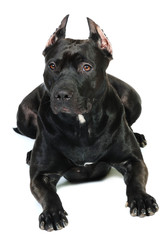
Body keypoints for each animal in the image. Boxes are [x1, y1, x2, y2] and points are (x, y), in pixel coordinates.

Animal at [15, 15, 159, 231]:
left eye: (86, 67)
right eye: (52, 66)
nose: (61, 95)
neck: (81, 125)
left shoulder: (133, 161)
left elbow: (135, 181)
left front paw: (141, 199)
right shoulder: (41, 176)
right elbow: (49, 195)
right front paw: (52, 214)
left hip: (133, 98)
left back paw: (138, 136)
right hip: (23, 114)